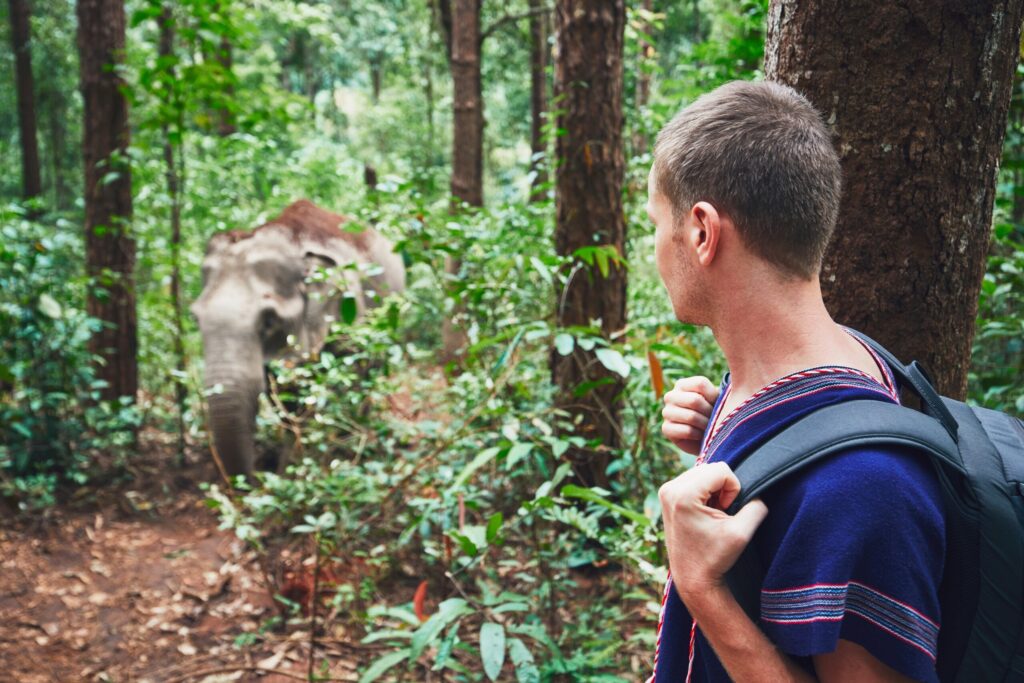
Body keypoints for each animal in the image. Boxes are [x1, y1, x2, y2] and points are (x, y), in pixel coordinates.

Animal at [191, 199, 405, 479]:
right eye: (195, 318)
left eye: (269, 321)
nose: (259, 478)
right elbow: (282, 394)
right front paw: (289, 469)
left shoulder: (350, 313)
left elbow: (350, 378)